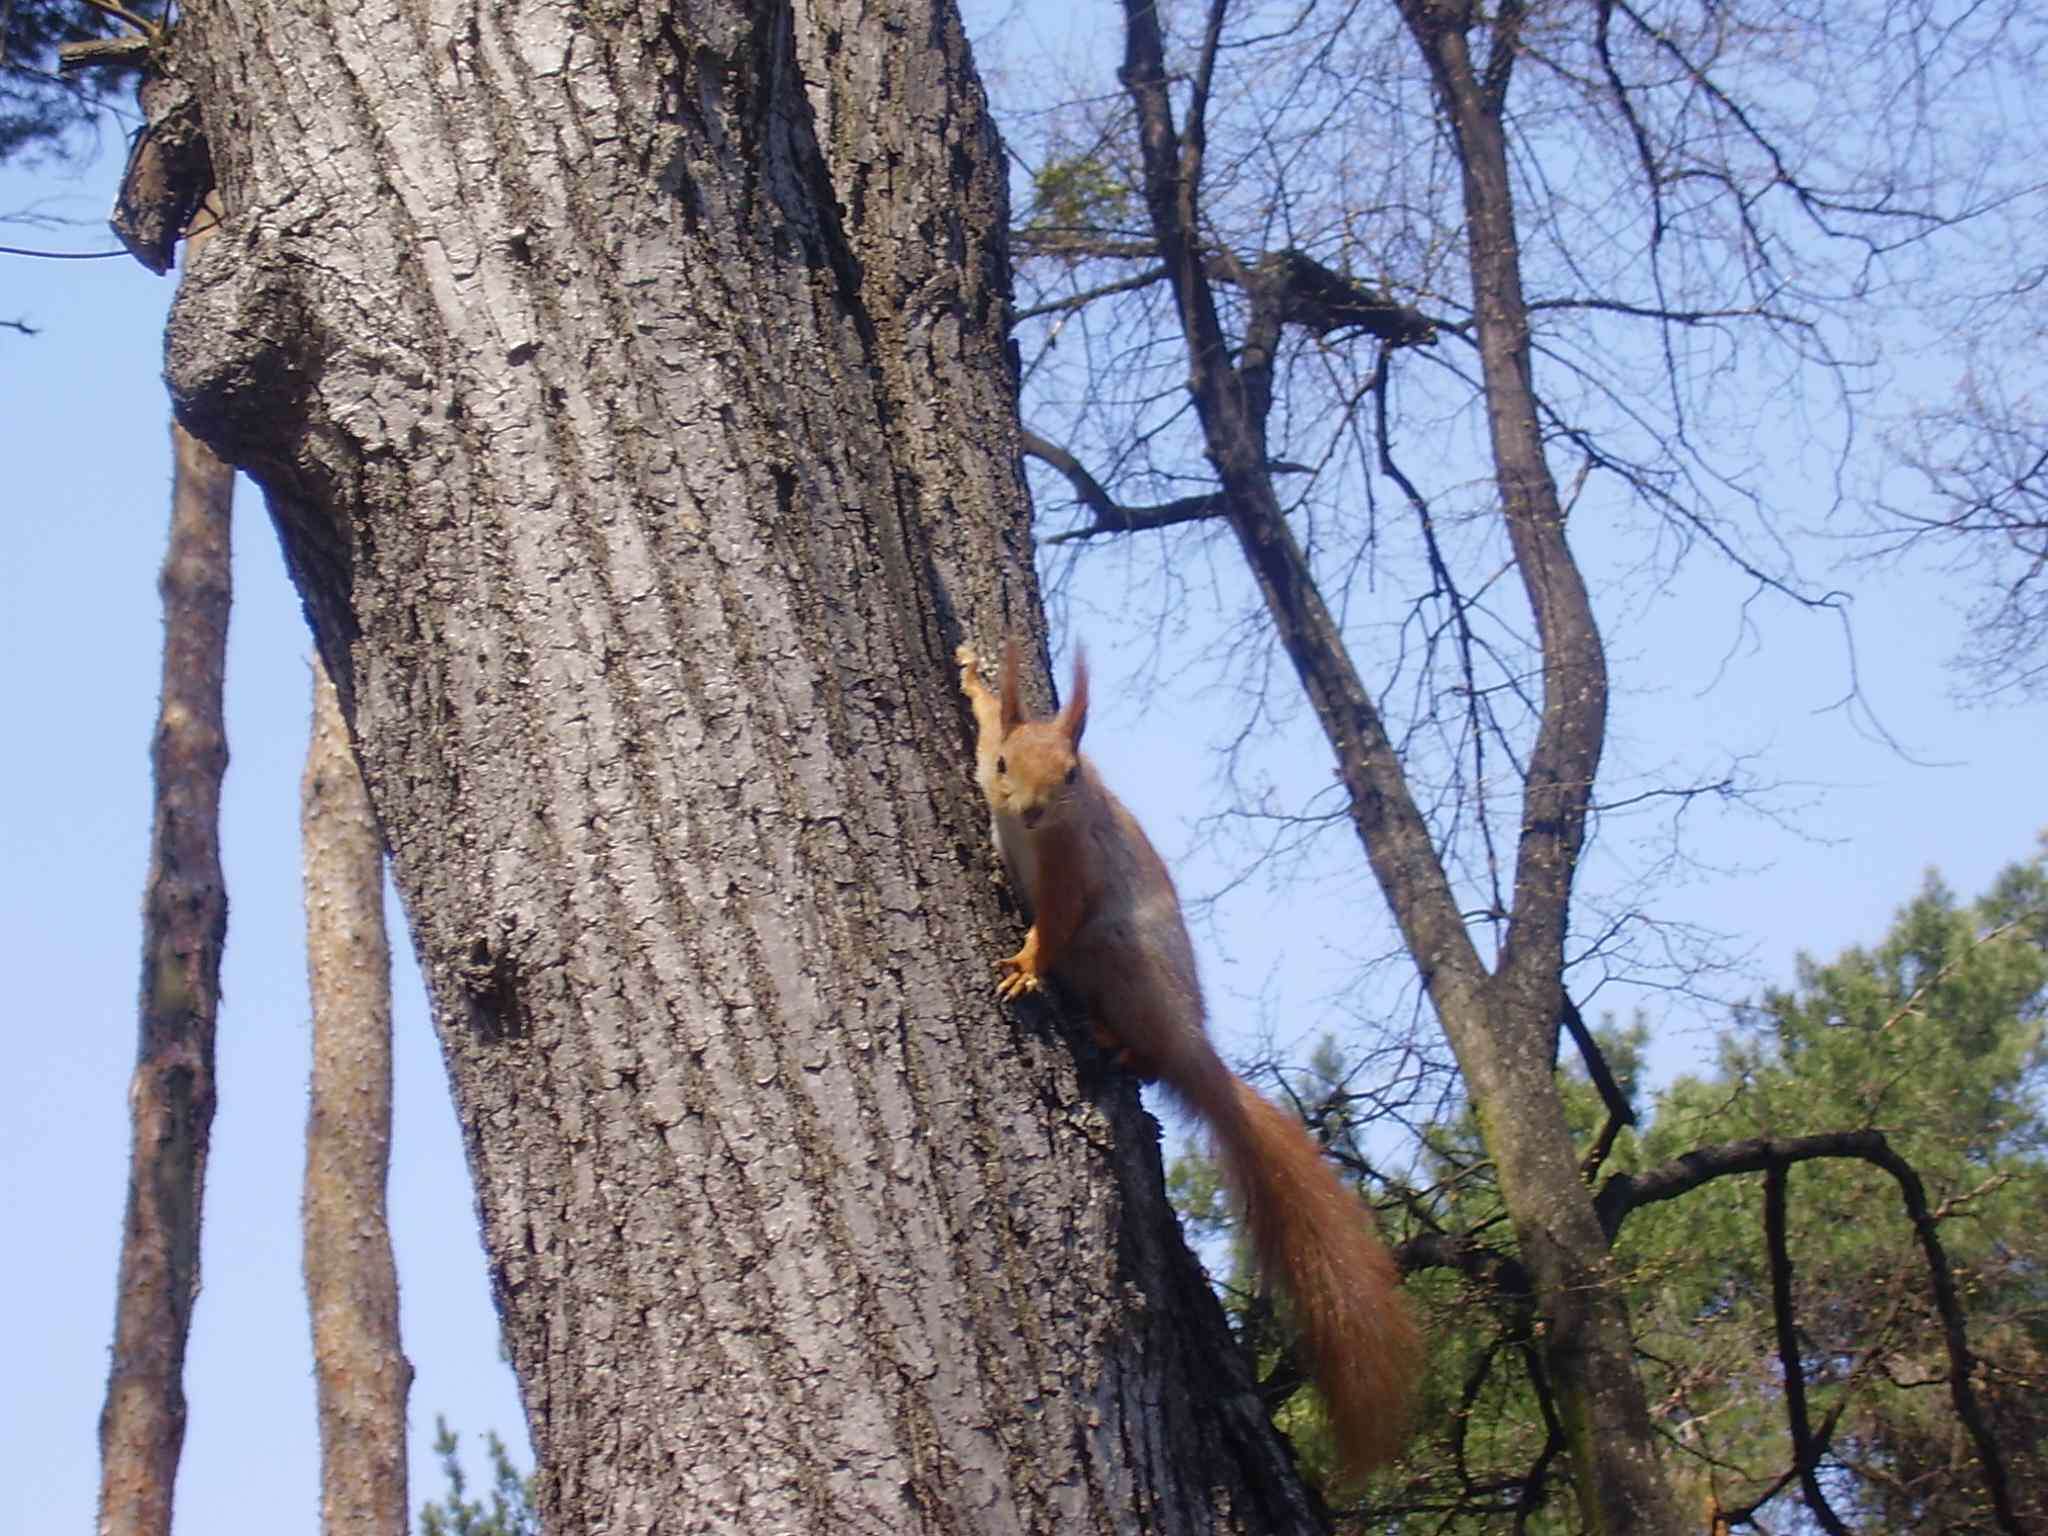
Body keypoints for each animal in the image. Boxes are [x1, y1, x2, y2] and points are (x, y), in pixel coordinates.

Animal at [950, 638, 1417, 1482]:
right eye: (1003, 763)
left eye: (1071, 774)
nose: (1031, 809)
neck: (1036, 835)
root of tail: (1190, 1039)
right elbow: (986, 709)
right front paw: (973, 672)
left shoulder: (1073, 866)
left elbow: (1056, 922)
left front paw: (1028, 964)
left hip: (1121, 964)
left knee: (1151, 1053)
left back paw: (1120, 1043)